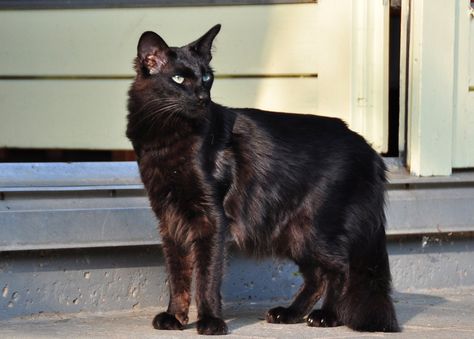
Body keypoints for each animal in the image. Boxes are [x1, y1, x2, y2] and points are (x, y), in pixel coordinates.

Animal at [127, 24, 400, 338]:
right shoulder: (169, 219)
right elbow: (178, 275)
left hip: (316, 228)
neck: (166, 137)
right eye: (179, 78)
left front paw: (210, 321)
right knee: (317, 276)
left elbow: (207, 276)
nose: (203, 98)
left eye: (207, 77)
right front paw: (175, 316)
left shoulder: (212, 218)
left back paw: (326, 316)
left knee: (339, 268)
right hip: (293, 233)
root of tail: (370, 149)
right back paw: (289, 313)